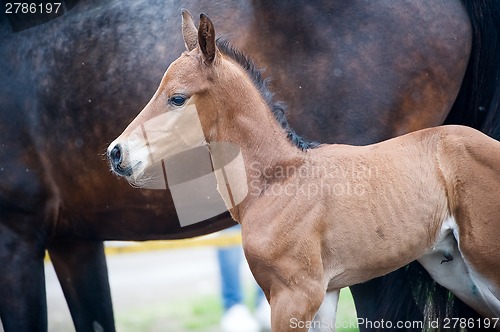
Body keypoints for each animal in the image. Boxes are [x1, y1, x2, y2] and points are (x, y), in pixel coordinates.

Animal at [0, 0, 498, 330]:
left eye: (177, 98)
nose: (117, 153)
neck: (276, 182)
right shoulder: (323, 295)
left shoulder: (294, 297)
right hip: (455, 270)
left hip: (483, 260)